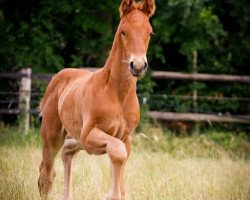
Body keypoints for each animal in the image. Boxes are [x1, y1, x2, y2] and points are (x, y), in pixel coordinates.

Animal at [38, 0, 155, 199]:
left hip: (75, 137)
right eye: (123, 31)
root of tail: (57, 77)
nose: (138, 65)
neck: (118, 94)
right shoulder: (89, 134)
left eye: (150, 32)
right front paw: (110, 195)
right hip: (52, 135)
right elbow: (117, 152)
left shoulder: (125, 138)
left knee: (67, 151)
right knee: (46, 174)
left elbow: (119, 157)